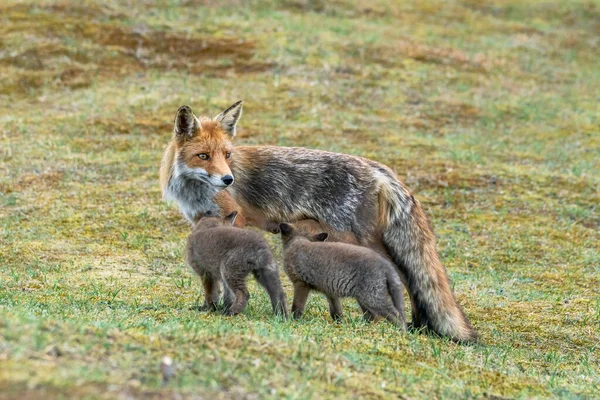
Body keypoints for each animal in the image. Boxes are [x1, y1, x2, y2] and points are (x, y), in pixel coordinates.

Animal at [159, 101, 478, 342]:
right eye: (203, 156)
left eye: (227, 155)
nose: (228, 180)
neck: (194, 190)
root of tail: (378, 168)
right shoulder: (203, 221)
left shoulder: (232, 220)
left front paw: (225, 308)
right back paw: (416, 325)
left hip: (355, 239)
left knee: (402, 276)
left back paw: (391, 322)